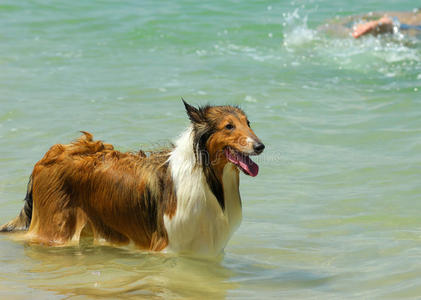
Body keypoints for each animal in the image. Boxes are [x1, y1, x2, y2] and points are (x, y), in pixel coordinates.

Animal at [0, 101, 264, 255]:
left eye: (248, 123)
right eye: (229, 126)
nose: (260, 146)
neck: (207, 178)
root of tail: (47, 156)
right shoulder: (171, 247)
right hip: (55, 230)